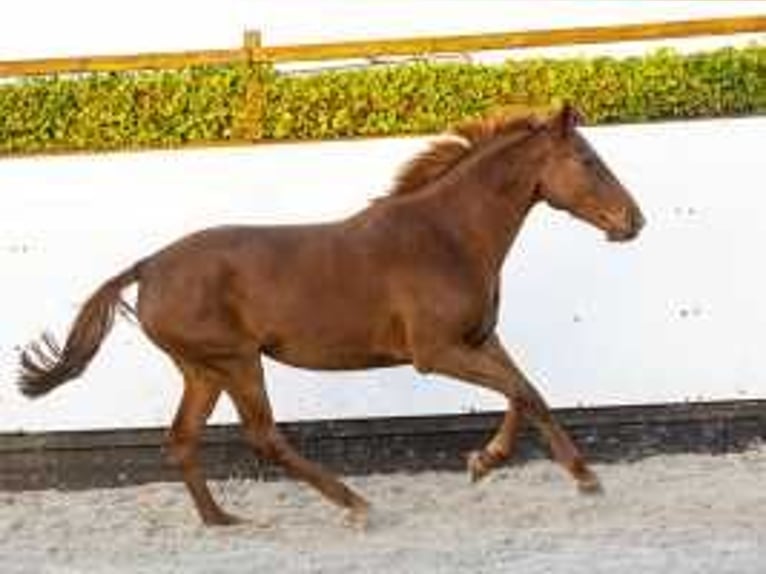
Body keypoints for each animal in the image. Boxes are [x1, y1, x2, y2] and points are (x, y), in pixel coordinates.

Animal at [18, 106, 644, 528]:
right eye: (588, 160)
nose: (633, 221)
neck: (447, 236)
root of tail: (146, 267)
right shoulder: (435, 352)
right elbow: (523, 390)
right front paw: (573, 476)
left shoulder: (479, 338)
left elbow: (525, 391)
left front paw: (496, 463)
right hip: (237, 361)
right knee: (263, 436)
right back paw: (357, 504)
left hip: (203, 370)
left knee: (182, 438)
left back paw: (221, 520)